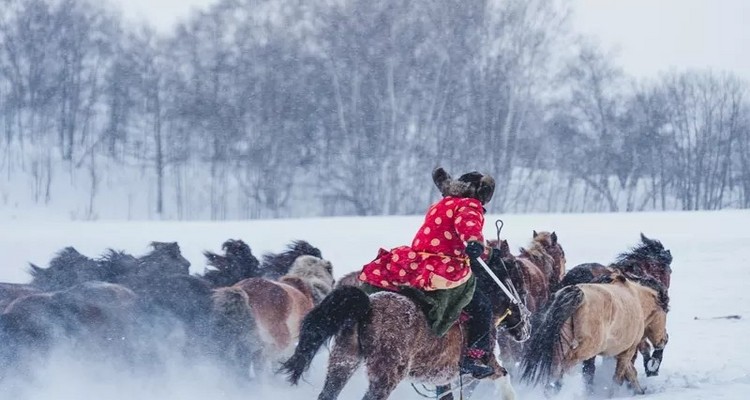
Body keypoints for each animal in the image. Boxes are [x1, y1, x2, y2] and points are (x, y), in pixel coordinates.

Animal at [280, 245, 532, 400]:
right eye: (519, 285)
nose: (526, 329)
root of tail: (368, 305)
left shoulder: (443, 377)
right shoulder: (486, 365)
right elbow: (505, 380)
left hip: (343, 361)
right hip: (386, 375)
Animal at [520, 274, 672, 396]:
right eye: (665, 312)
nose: (664, 339)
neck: (637, 299)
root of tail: (578, 294)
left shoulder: (619, 352)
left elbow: (630, 373)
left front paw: (639, 391)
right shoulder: (628, 351)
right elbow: (618, 378)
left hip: (562, 344)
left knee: (555, 370)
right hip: (586, 349)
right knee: (565, 366)